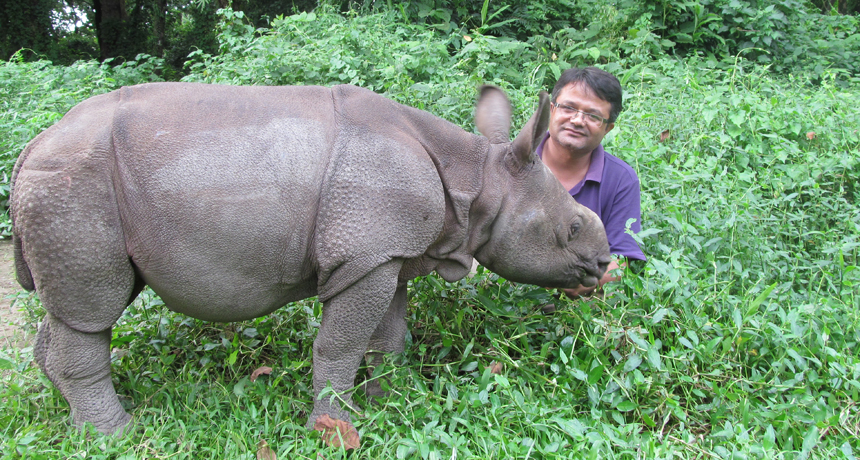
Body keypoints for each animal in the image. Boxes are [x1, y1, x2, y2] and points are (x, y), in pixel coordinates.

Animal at [10, 82, 610, 438]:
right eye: (572, 228)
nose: (603, 265)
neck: (479, 179)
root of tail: (31, 147)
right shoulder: (365, 251)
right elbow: (341, 343)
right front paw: (335, 425)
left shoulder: (385, 253)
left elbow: (388, 337)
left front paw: (391, 401)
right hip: (73, 181)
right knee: (94, 308)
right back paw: (115, 434)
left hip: (70, 189)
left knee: (78, 306)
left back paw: (75, 415)